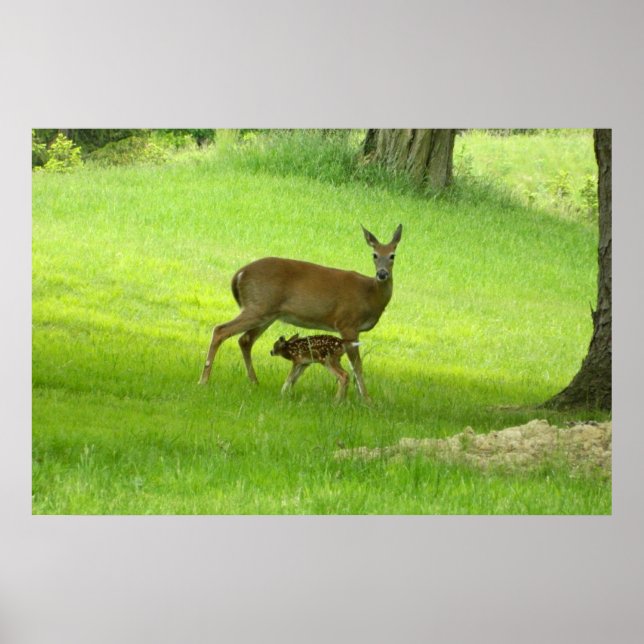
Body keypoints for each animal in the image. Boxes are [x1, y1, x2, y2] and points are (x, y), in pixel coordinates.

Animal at [198, 223, 402, 400]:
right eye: (374, 255)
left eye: (392, 255)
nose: (382, 274)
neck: (371, 295)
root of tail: (239, 274)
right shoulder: (347, 323)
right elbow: (357, 366)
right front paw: (367, 400)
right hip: (258, 307)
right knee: (221, 330)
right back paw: (204, 381)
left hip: (267, 312)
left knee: (245, 340)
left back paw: (254, 382)